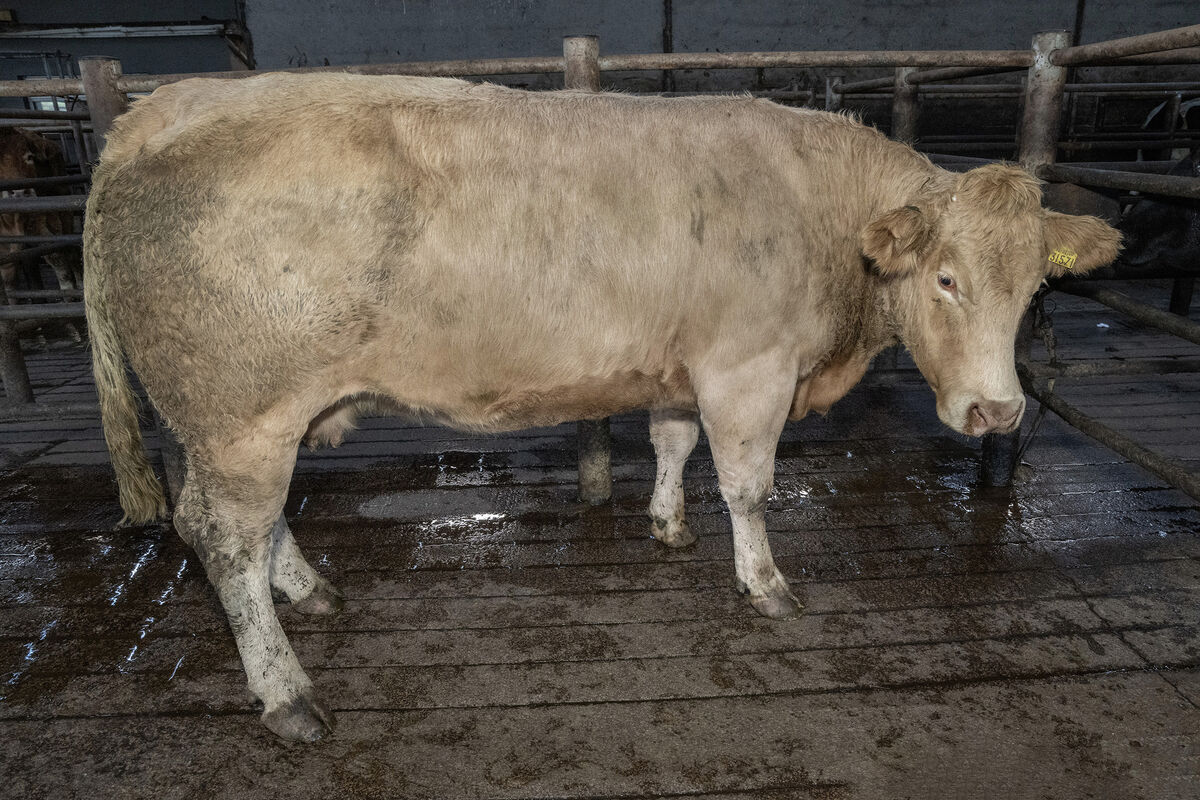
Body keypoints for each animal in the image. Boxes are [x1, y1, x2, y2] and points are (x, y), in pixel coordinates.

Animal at [83, 73, 1121, 741]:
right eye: (946, 279)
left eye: (1035, 288)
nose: (997, 414)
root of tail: (158, 109)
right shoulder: (749, 369)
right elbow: (749, 485)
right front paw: (765, 583)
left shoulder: (683, 366)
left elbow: (672, 446)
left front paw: (666, 524)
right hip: (240, 413)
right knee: (223, 534)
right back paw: (287, 693)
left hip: (247, 419)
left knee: (253, 528)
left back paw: (310, 589)